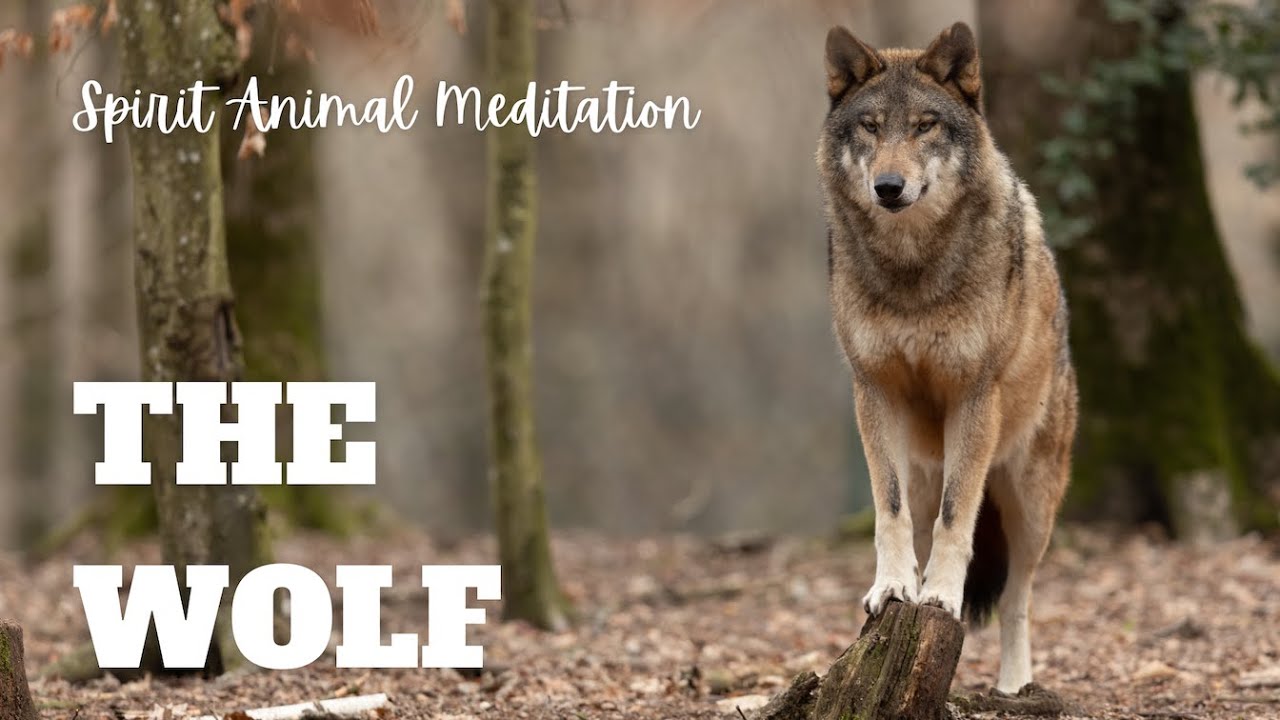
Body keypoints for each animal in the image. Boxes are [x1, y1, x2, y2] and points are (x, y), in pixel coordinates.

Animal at [816, 21, 1078, 693]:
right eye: (871, 127)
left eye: (925, 126)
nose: (888, 187)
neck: (913, 271)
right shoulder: (873, 391)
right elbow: (889, 511)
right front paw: (893, 589)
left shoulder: (973, 396)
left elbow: (957, 521)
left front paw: (939, 599)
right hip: (926, 468)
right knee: (921, 518)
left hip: (1029, 505)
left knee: (1017, 599)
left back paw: (1013, 688)